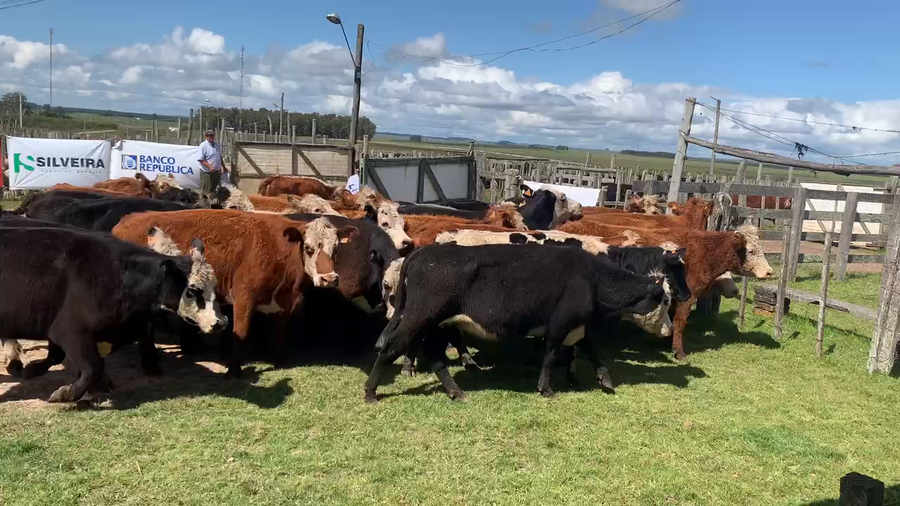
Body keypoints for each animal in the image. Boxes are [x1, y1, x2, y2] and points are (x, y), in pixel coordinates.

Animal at [0, 227, 224, 405]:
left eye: (214, 285)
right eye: (192, 290)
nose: (221, 322)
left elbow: (57, 356)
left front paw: (33, 370)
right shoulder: (71, 331)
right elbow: (92, 367)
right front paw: (66, 394)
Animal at [112, 210, 357, 376]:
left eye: (336, 248)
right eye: (308, 248)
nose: (329, 279)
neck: (279, 250)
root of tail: (127, 220)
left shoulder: (282, 303)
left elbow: (278, 332)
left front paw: (280, 361)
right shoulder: (244, 298)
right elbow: (240, 332)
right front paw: (234, 370)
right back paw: (151, 365)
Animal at [366, 243, 669, 402]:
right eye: (666, 300)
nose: (670, 329)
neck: (592, 278)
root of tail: (425, 252)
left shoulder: (579, 326)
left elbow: (593, 352)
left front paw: (604, 380)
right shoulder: (559, 325)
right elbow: (550, 356)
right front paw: (546, 388)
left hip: (438, 325)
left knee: (436, 358)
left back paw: (456, 392)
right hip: (418, 319)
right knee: (391, 349)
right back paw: (370, 392)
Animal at [557, 220, 773, 359]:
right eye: (751, 250)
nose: (769, 271)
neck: (703, 250)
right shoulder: (687, 296)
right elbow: (679, 322)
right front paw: (679, 352)